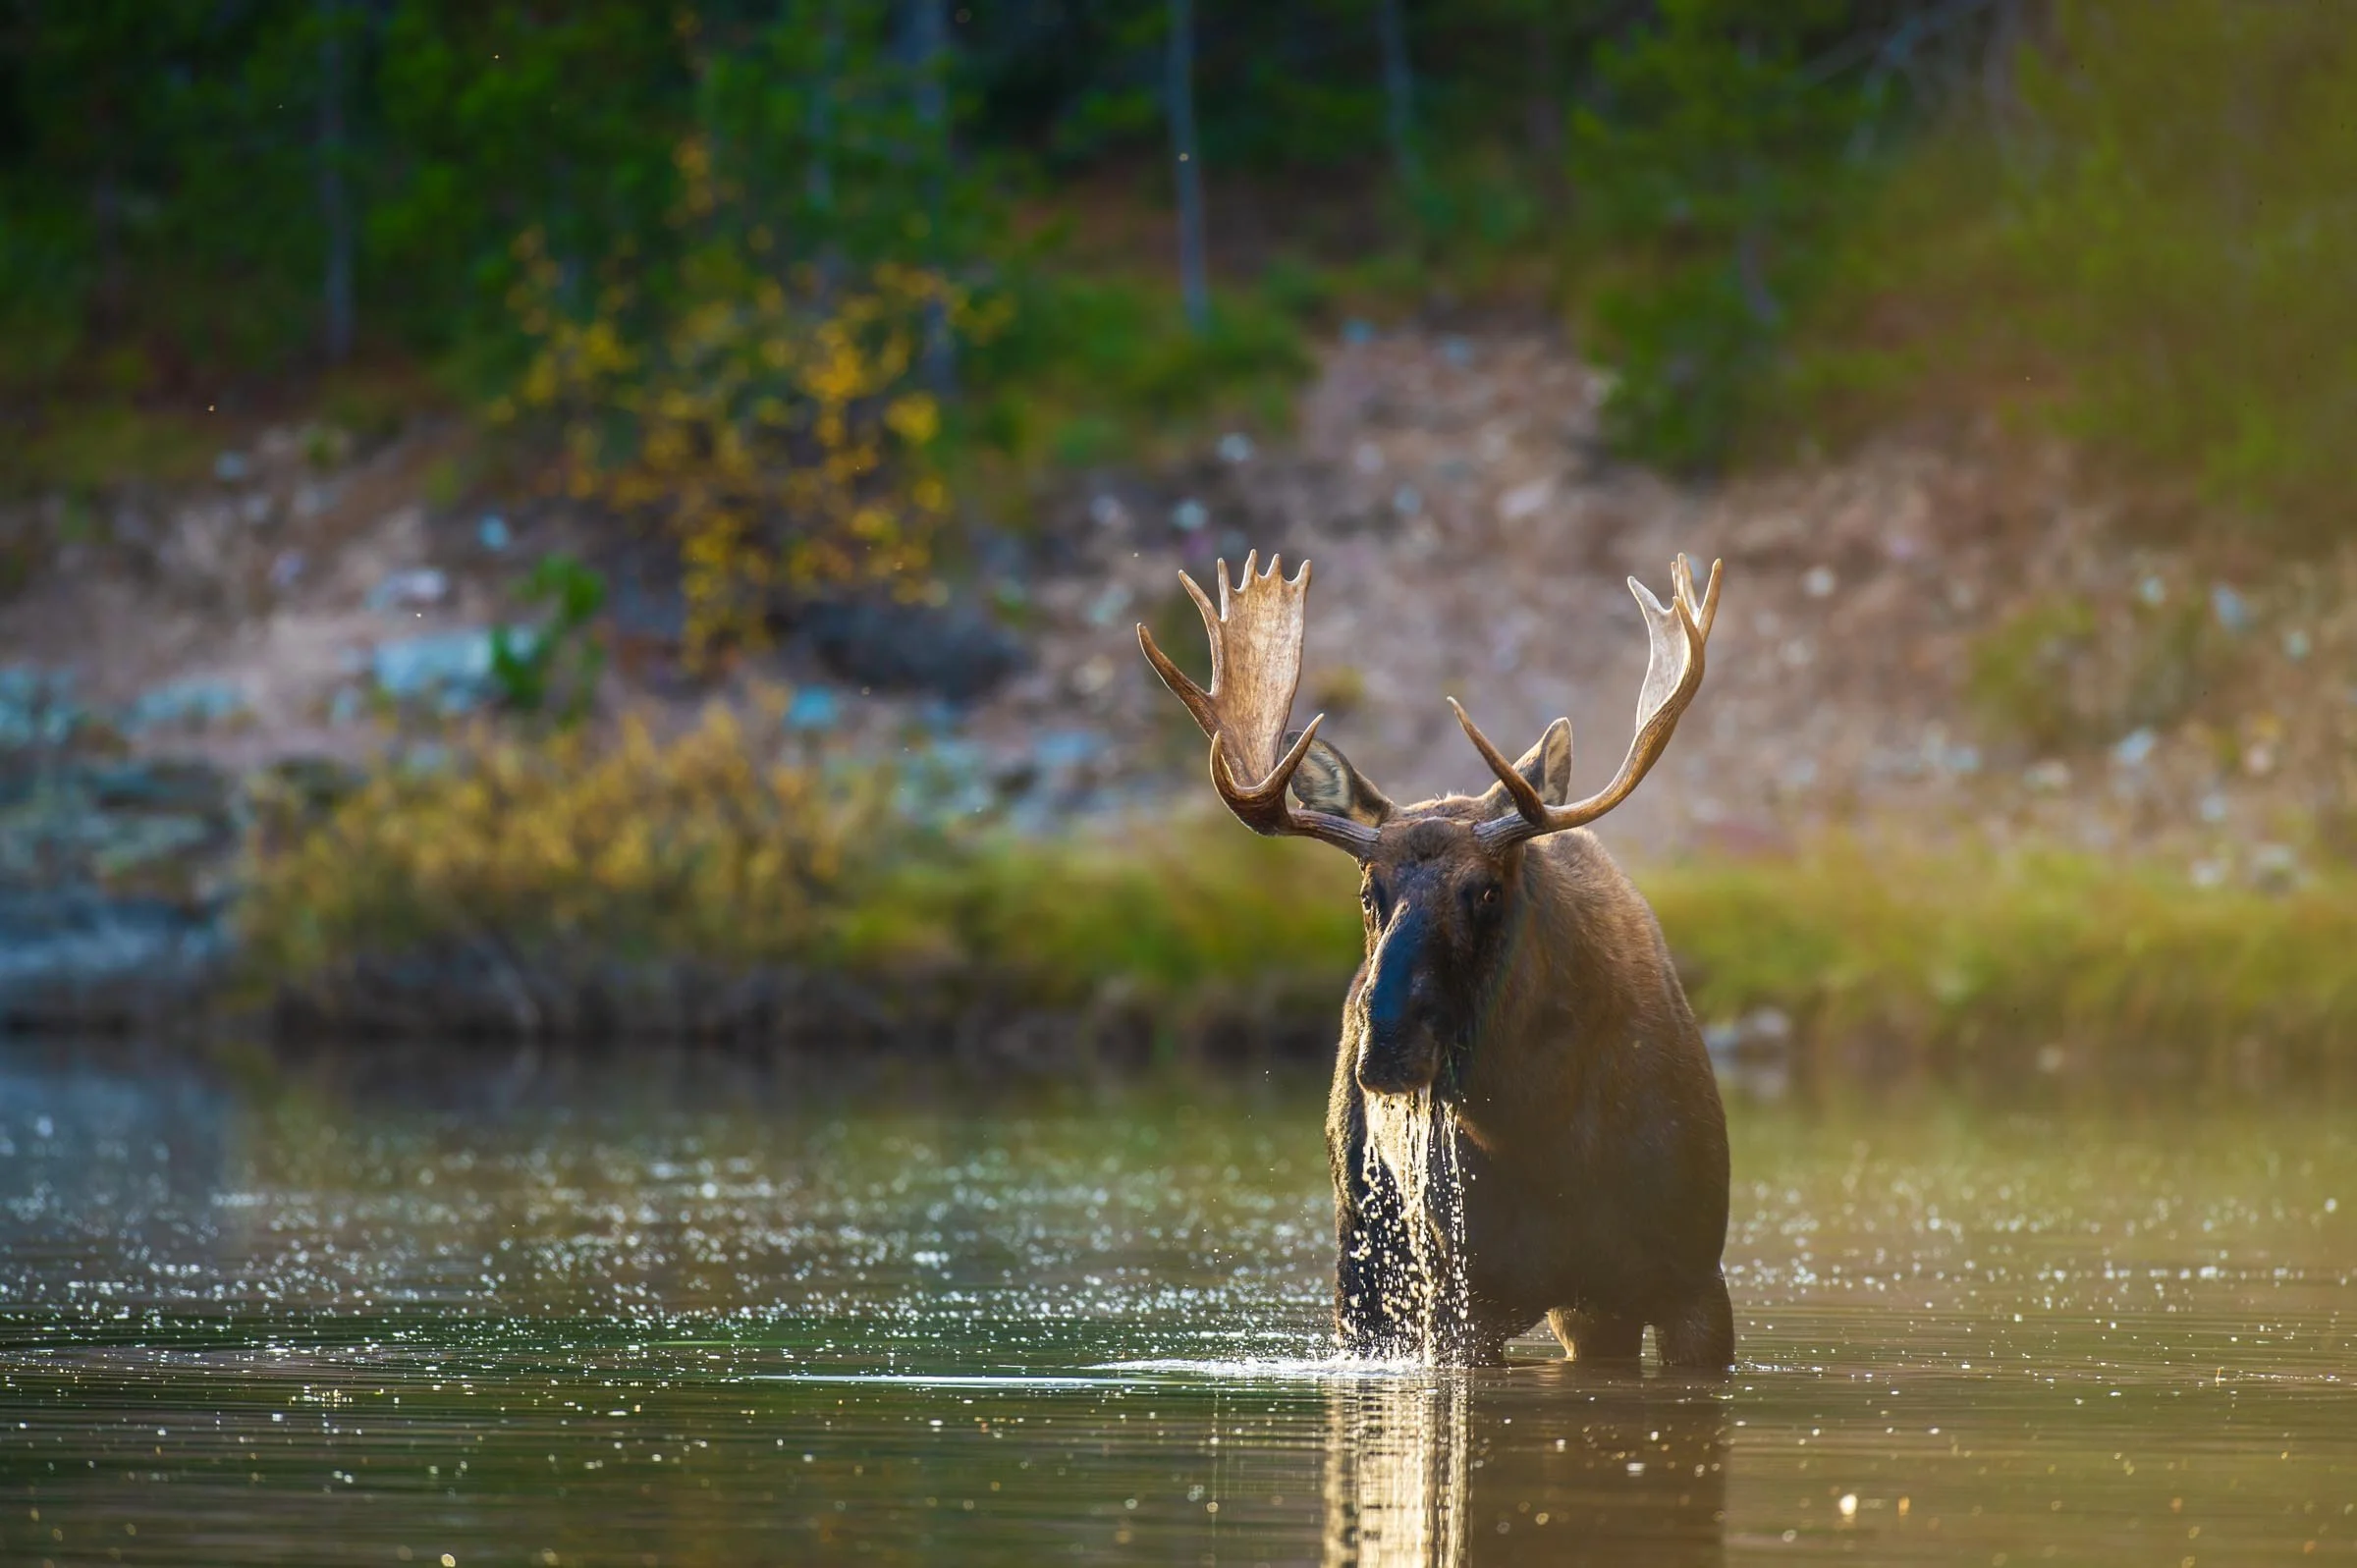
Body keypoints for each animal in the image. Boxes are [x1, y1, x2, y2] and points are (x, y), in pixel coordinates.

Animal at [1138, 550, 1731, 1371]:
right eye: (1367, 891)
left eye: (1486, 889)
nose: (1386, 1038)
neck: (1552, 1131)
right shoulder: (1468, 1297)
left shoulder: (1691, 1278)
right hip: (1364, 1246)